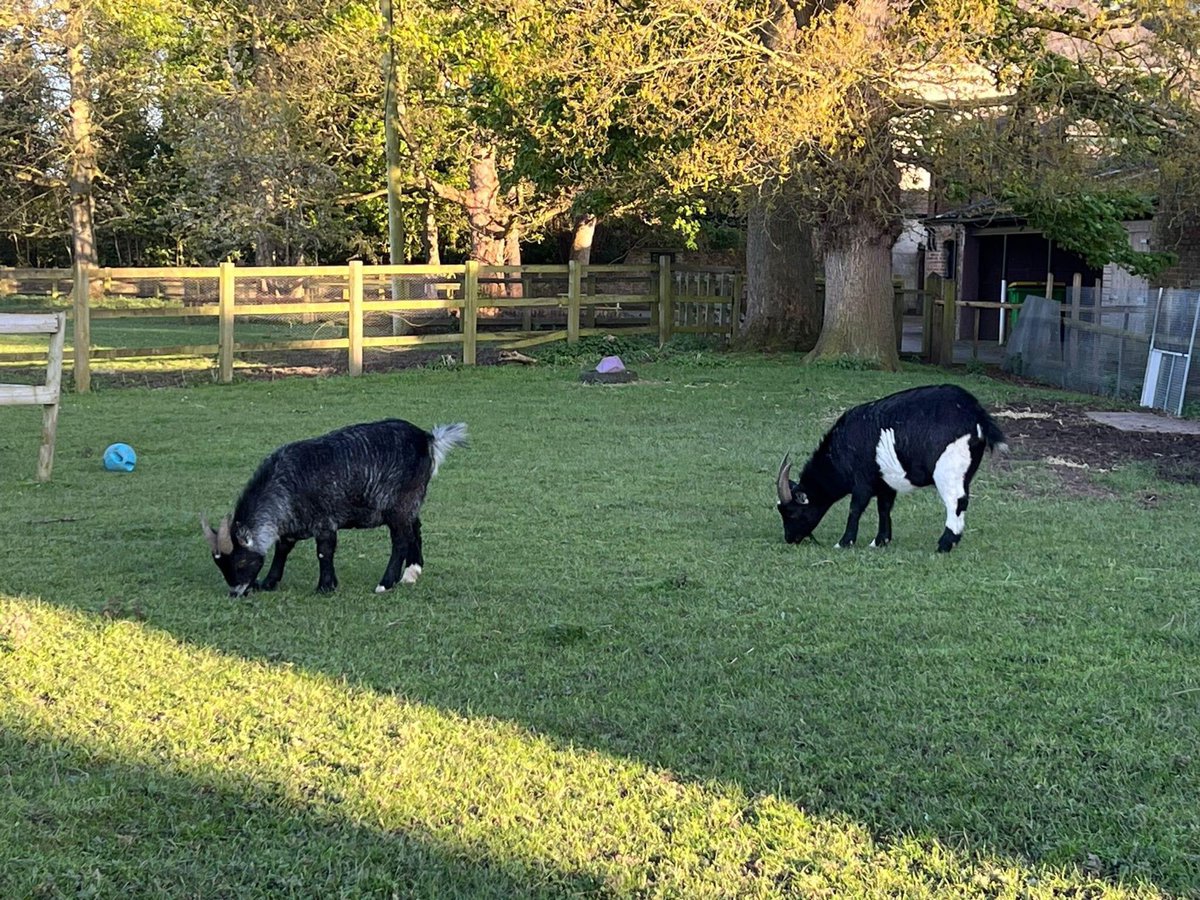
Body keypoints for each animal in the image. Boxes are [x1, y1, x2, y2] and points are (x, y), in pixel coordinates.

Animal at [199, 420, 465, 595]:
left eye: (241, 562)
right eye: (221, 565)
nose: (236, 592)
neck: (286, 482)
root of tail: (427, 439)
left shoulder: (325, 521)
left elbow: (324, 551)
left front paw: (325, 586)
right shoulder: (292, 524)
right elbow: (282, 550)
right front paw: (269, 582)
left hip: (398, 504)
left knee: (400, 540)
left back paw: (385, 583)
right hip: (411, 503)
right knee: (415, 529)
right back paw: (411, 573)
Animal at [772, 384, 1008, 554]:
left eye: (792, 512)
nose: (789, 539)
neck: (842, 449)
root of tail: (975, 412)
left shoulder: (862, 482)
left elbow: (855, 508)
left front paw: (845, 542)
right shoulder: (885, 482)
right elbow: (884, 508)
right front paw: (880, 541)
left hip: (948, 469)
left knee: (956, 502)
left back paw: (944, 545)